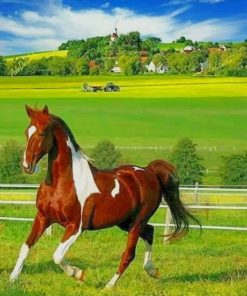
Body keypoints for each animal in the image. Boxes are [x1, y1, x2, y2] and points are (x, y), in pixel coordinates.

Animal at [9, 105, 200, 288]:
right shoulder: (43, 217)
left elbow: (57, 255)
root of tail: (150, 172)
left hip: (137, 222)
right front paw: (12, 279)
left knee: (129, 253)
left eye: (42, 132)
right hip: (125, 222)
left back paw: (109, 286)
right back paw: (152, 271)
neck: (63, 183)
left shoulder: (75, 226)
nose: (27, 165)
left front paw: (79, 274)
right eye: (27, 132)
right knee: (150, 231)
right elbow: (25, 247)